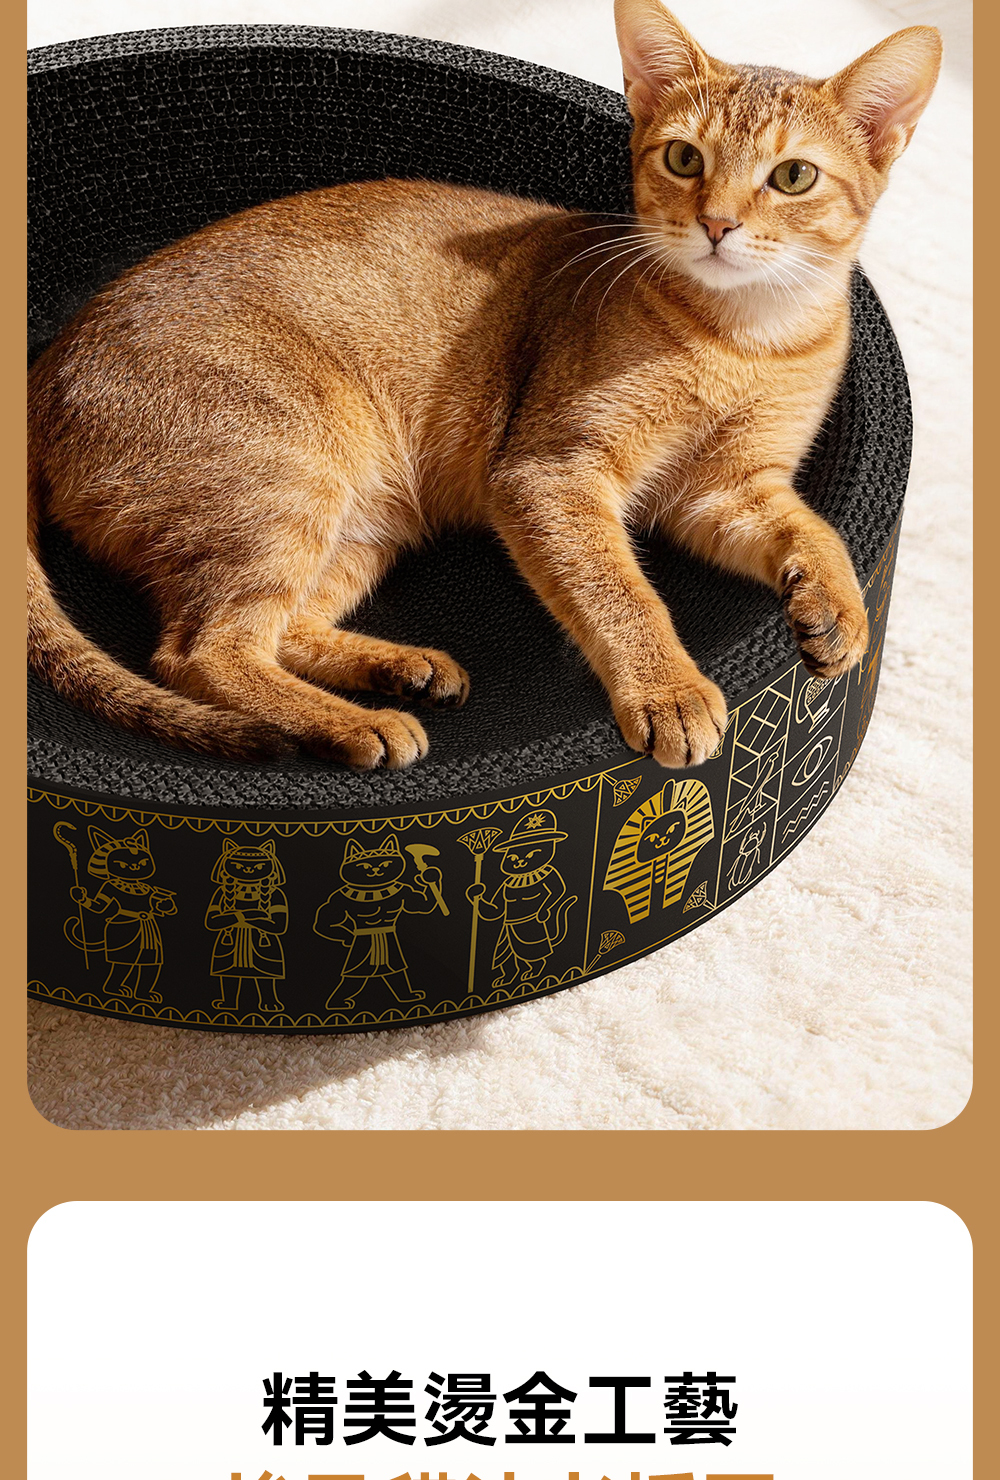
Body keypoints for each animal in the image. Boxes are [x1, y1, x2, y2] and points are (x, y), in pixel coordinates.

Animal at [27, 1, 940, 770]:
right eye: (684, 158)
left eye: (793, 177)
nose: (717, 224)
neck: (747, 340)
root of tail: (46, 367)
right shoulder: (550, 473)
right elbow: (622, 593)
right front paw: (671, 693)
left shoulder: (724, 490)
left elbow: (814, 529)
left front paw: (840, 608)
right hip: (290, 476)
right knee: (200, 650)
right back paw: (357, 724)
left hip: (363, 520)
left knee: (281, 629)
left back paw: (403, 671)